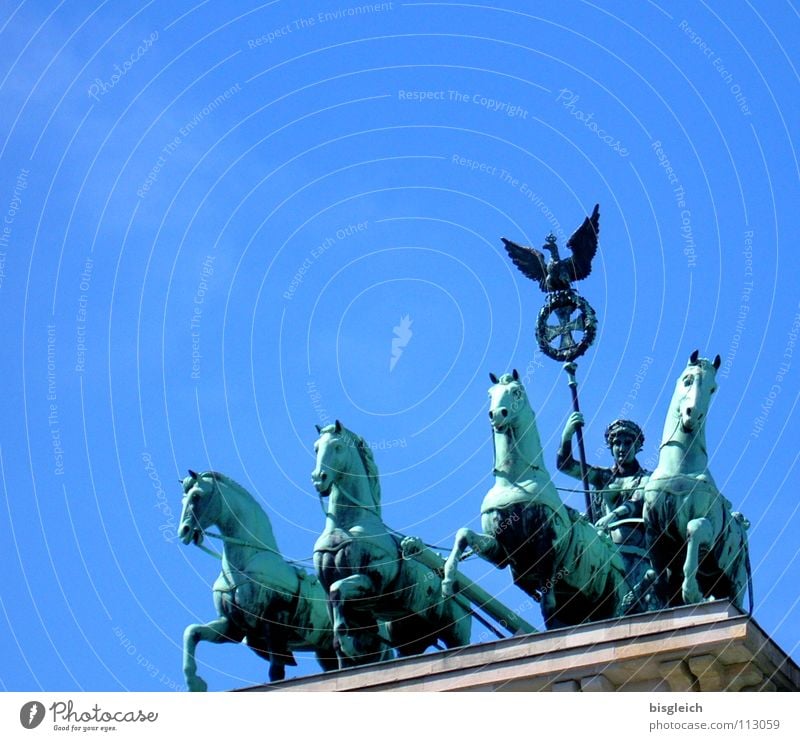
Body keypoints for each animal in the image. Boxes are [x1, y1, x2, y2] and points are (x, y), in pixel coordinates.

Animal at [177, 472, 336, 692]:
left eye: (197, 496)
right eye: (184, 500)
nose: (184, 531)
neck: (243, 565)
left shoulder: (275, 621)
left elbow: (276, 671)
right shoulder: (232, 627)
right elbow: (192, 632)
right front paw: (194, 682)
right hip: (325, 649)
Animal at [310, 420, 476, 668]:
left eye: (337, 447)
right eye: (316, 448)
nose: (318, 478)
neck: (347, 525)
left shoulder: (372, 584)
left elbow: (338, 590)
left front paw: (348, 643)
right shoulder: (328, 587)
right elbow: (335, 609)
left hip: (456, 631)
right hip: (407, 636)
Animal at [440, 370, 628, 624]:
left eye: (516, 391)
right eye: (490, 394)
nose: (497, 414)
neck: (514, 480)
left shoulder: (547, 548)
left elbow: (547, 605)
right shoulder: (503, 551)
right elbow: (463, 535)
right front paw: (448, 580)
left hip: (614, 595)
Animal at [644, 356, 752, 608]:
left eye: (713, 388)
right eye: (687, 379)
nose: (692, 415)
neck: (679, 468)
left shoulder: (707, 529)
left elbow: (695, 527)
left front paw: (691, 592)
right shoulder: (655, 535)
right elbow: (660, 579)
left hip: (737, 582)